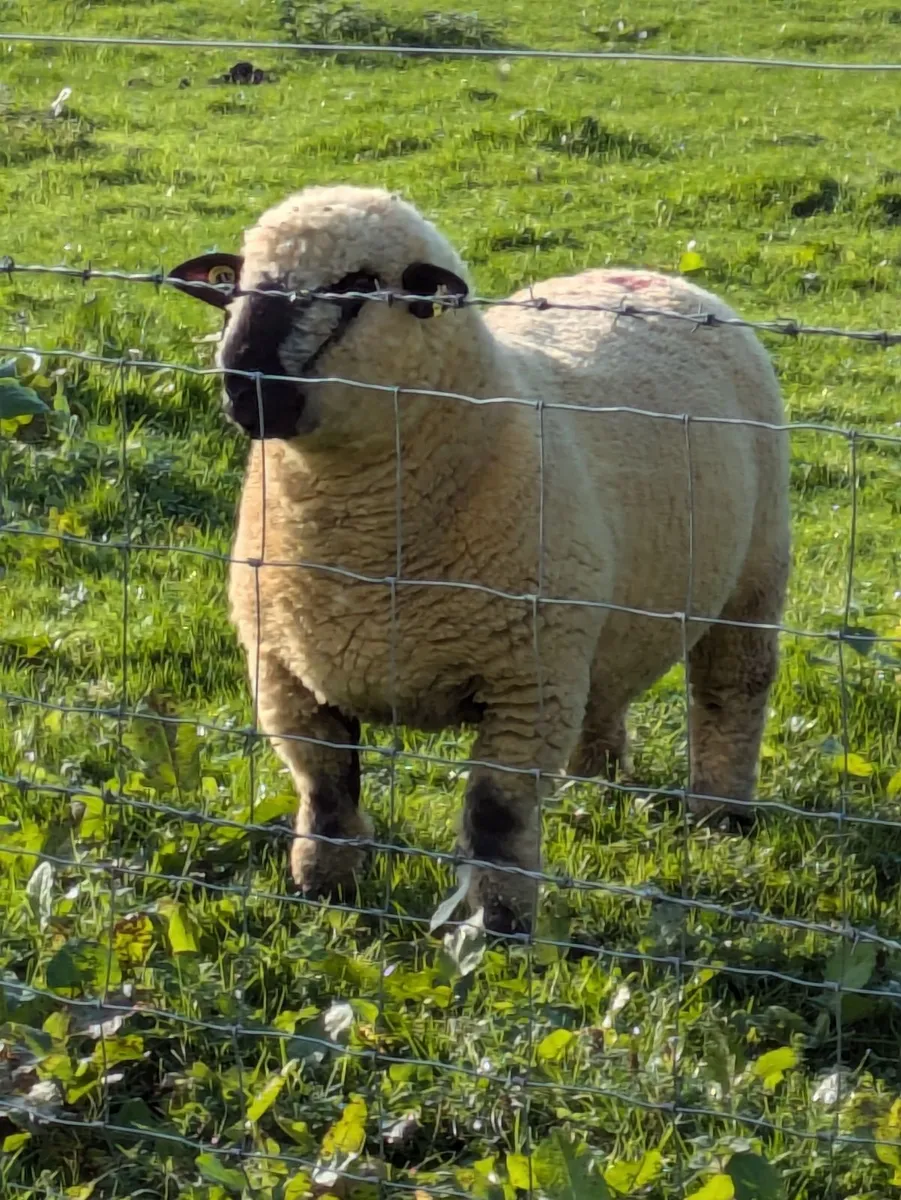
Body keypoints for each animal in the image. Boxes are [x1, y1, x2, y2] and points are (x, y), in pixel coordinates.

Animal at [168, 184, 791, 936]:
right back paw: (595, 786)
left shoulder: (526, 682)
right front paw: (326, 895)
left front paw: (500, 929)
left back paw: (721, 818)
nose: (244, 385)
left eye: (358, 285)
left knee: (731, 690)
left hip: (753, 574)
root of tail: (652, 275)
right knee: (607, 693)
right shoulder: (285, 668)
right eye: (236, 284)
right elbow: (327, 793)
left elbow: (496, 817)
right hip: (594, 622)